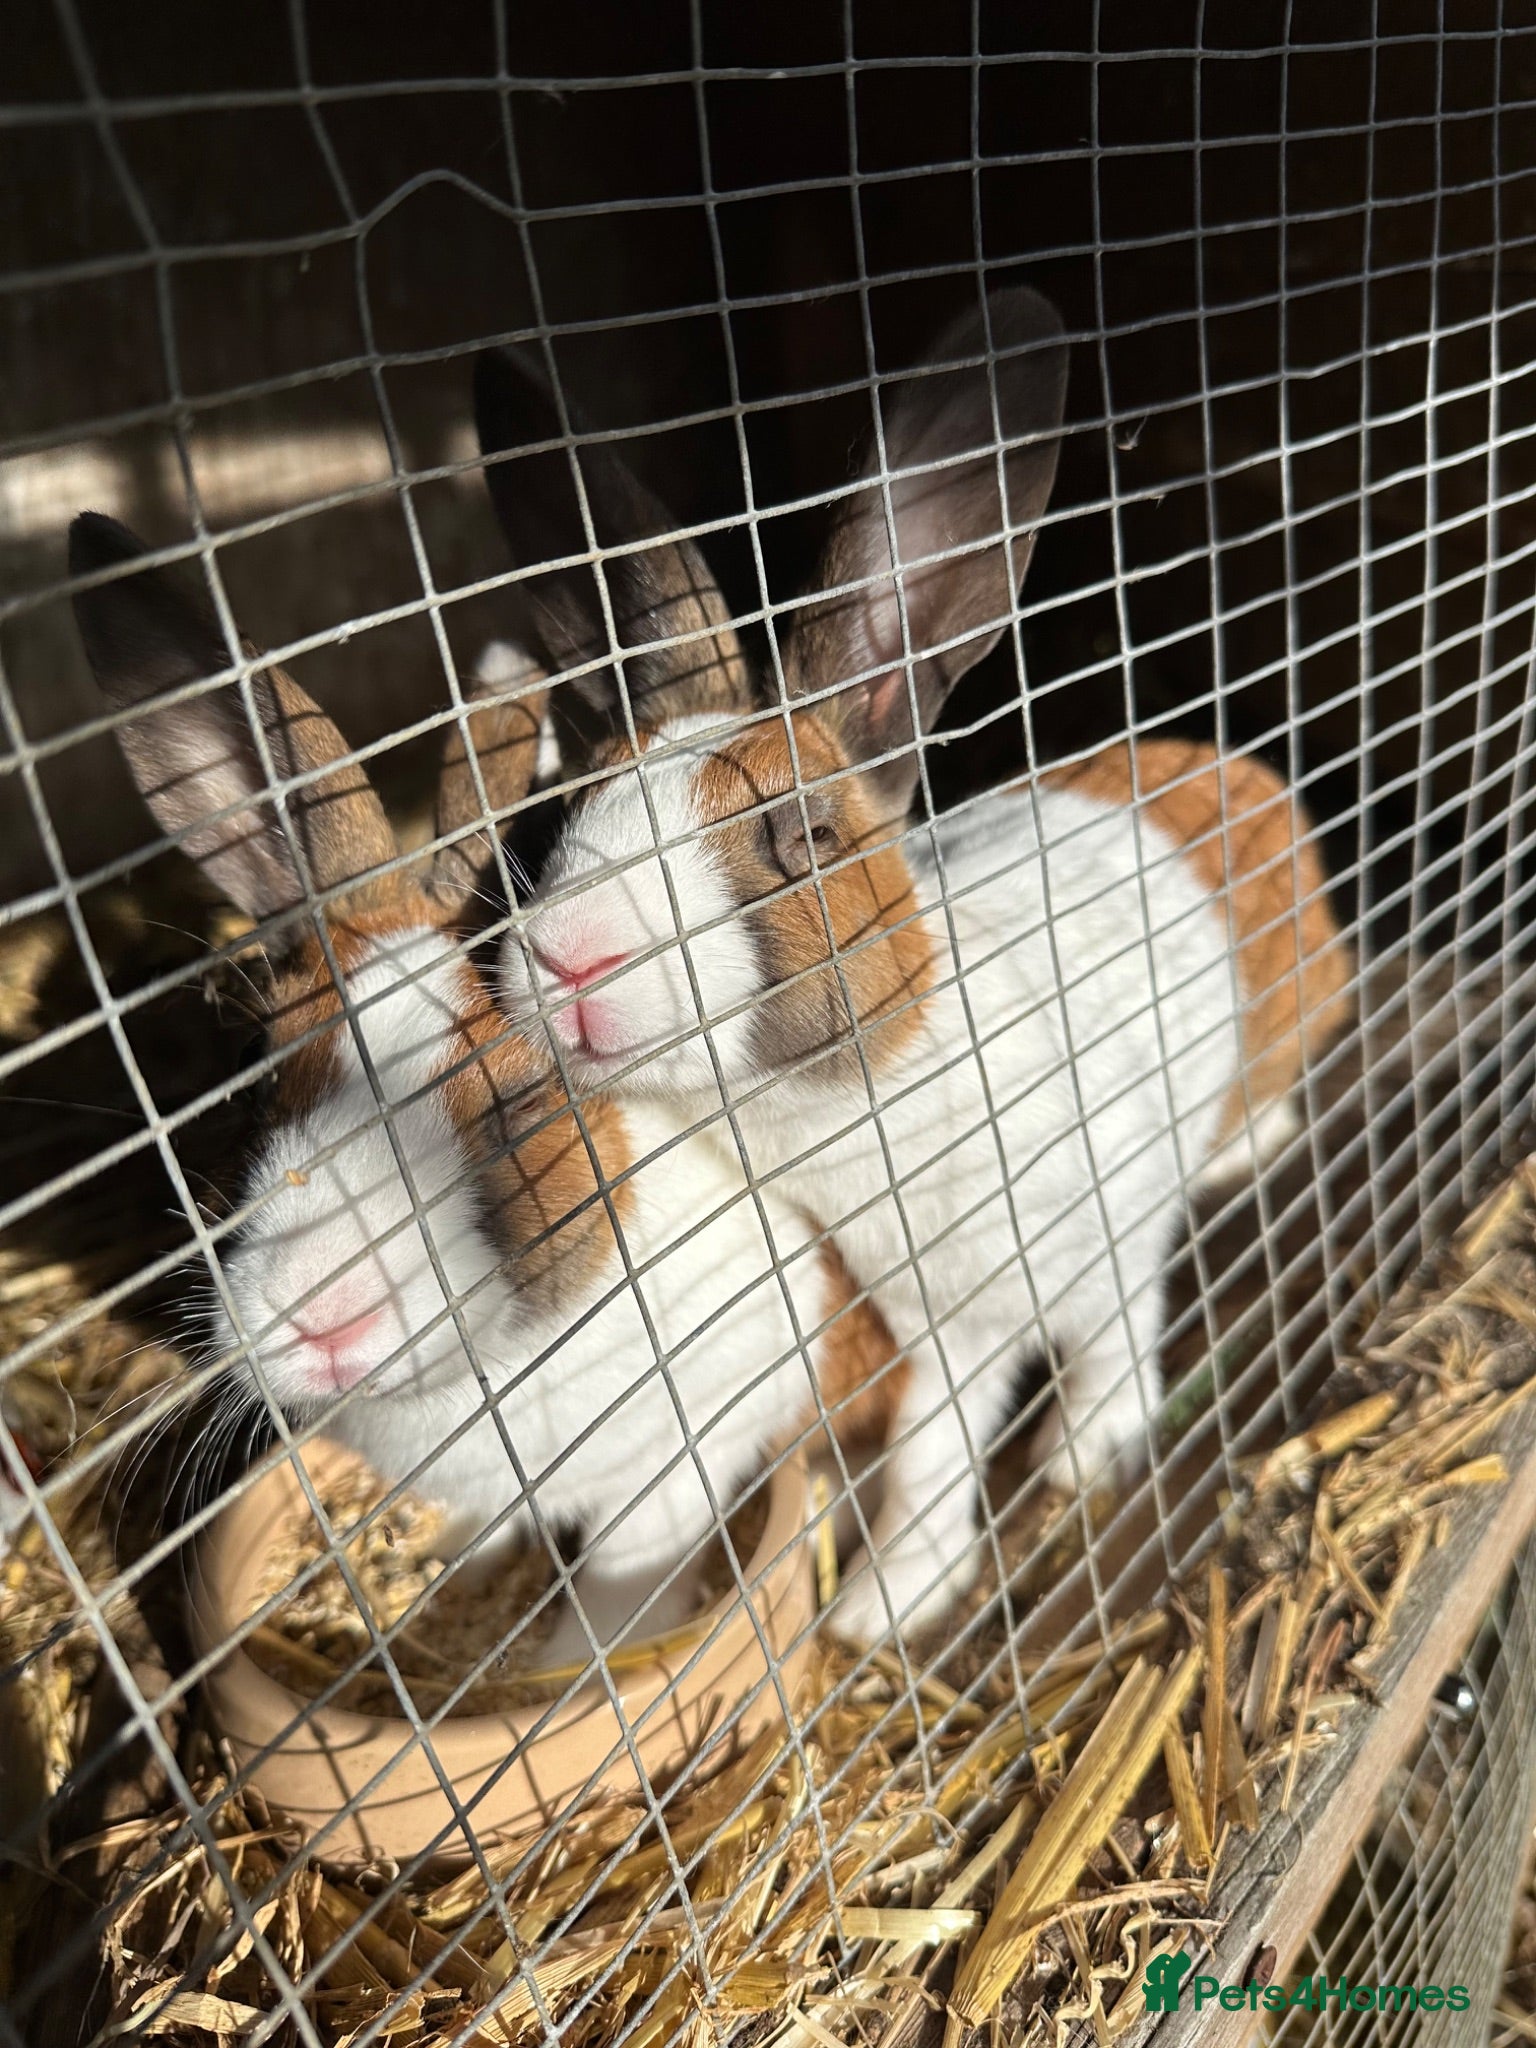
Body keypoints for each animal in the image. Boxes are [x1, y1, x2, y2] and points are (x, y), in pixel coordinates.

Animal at [67, 512, 902, 1664]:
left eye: (518, 1106)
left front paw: (563, 1666)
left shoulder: (674, 1473)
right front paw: (457, 1569)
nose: (322, 1317)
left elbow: (619, 1590)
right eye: (249, 1085)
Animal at [477, 286, 1349, 1644]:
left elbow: (1057, 1371)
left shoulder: (1059, 1260)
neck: (856, 1092)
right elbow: (933, 1436)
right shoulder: (931, 1307)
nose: (568, 955)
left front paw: (970, 1541)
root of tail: (1252, 779)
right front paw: (886, 1591)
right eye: (570, 812)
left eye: (800, 835)